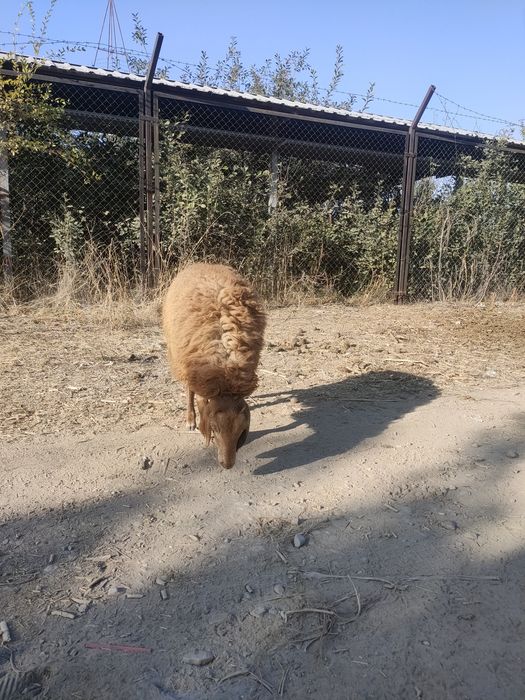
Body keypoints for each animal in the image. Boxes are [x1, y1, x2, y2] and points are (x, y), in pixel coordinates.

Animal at [162, 263, 266, 469]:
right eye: (214, 428)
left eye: (241, 430)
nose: (227, 465)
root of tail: (201, 263)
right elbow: (195, 396)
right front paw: (192, 421)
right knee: (188, 390)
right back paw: (190, 418)